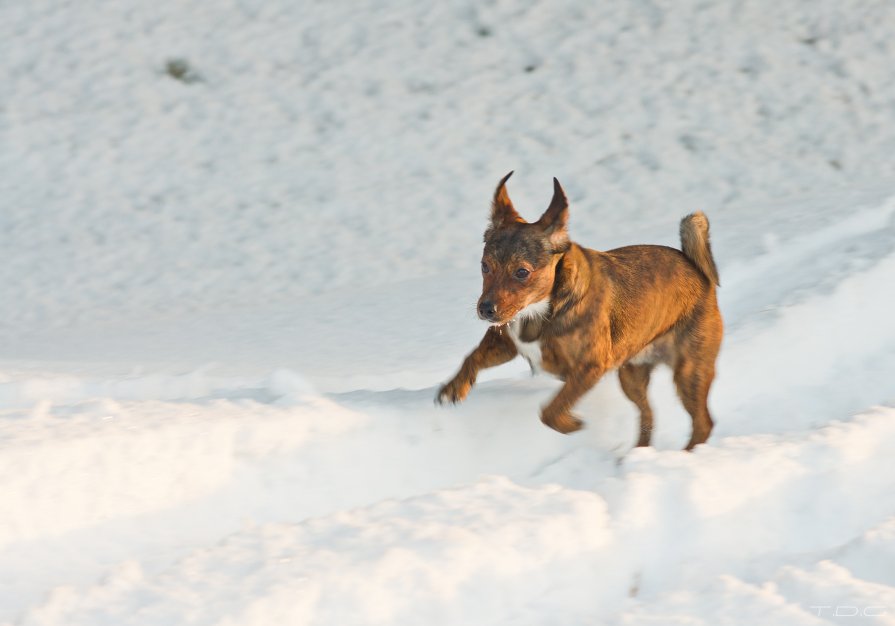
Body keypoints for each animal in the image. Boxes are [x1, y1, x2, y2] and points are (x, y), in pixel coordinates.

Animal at [438, 172, 724, 448]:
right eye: (484, 266)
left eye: (522, 272)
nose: (486, 309)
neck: (538, 313)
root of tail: (698, 271)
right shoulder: (505, 342)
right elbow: (472, 357)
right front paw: (454, 388)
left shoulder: (589, 368)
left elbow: (550, 410)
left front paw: (572, 425)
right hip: (631, 375)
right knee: (648, 415)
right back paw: (639, 453)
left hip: (689, 372)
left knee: (703, 422)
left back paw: (687, 454)